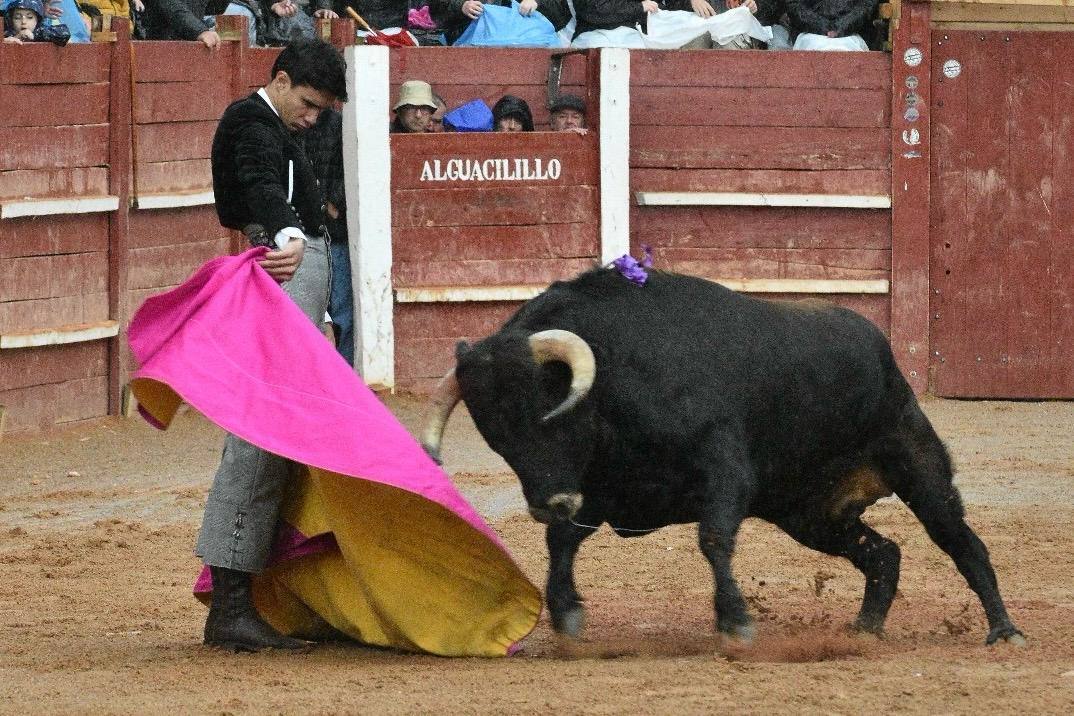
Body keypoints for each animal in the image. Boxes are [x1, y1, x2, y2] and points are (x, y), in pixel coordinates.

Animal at [418, 266, 1022, 648]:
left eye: (548, 411)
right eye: (496, 436)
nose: (548, 503)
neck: (616, 373)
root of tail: (882, 351)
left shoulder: (723, 470)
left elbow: (713, 539)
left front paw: (735, 622)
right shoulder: (602, 488)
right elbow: (563, 542)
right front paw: (566, 612)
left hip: (918, 467)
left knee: (963, 543)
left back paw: (1003, 631)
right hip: (812, 515)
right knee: (883, 553)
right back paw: (865, 630)